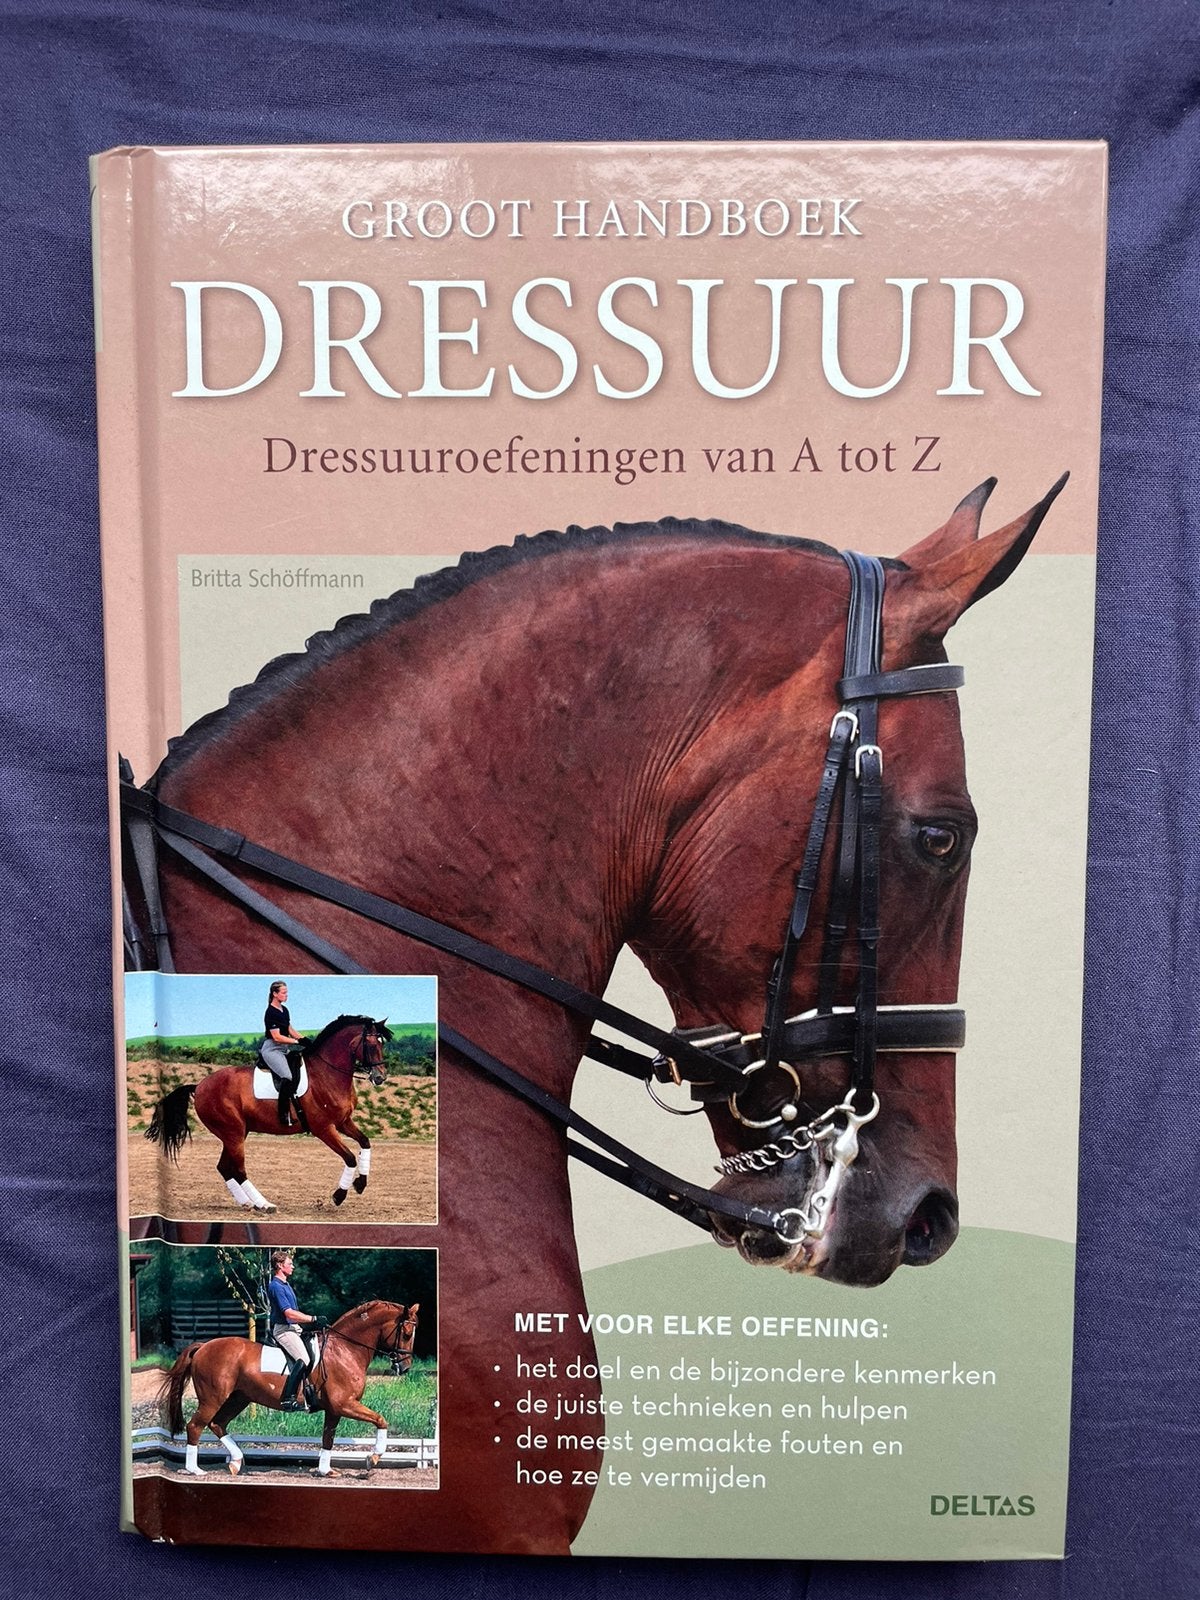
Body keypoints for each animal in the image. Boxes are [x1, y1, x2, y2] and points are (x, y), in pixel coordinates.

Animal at [144, 1014, 392, 1211]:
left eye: (382, 1044)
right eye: (371, 1044)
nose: (380, 1077)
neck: (327, 1073)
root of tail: (200, 1085)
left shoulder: (343, 1121)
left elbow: (365, 1142)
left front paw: (360, 1183)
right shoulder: (323, 1128)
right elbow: (349, 1157)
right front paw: (339, 1195)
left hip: (235, 1133)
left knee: (224, 1167)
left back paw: (247, 1203)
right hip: (233, 1133)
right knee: (238, 1170)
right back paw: (264, 1204)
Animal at [158, 1299, 419, 1478]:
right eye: (406, 1333)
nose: (405, 1367)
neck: (345, 1350)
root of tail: (204, 1346)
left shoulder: (334, 1409)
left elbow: (328, 1438)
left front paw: (325, 1471)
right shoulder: (345, 1404)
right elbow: (381, 1420)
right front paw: (372, 1458)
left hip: (238, 1398)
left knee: (217, 1424)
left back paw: (236, 1462)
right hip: (213, 1398)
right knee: (195, 1426)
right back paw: (195, 1470)